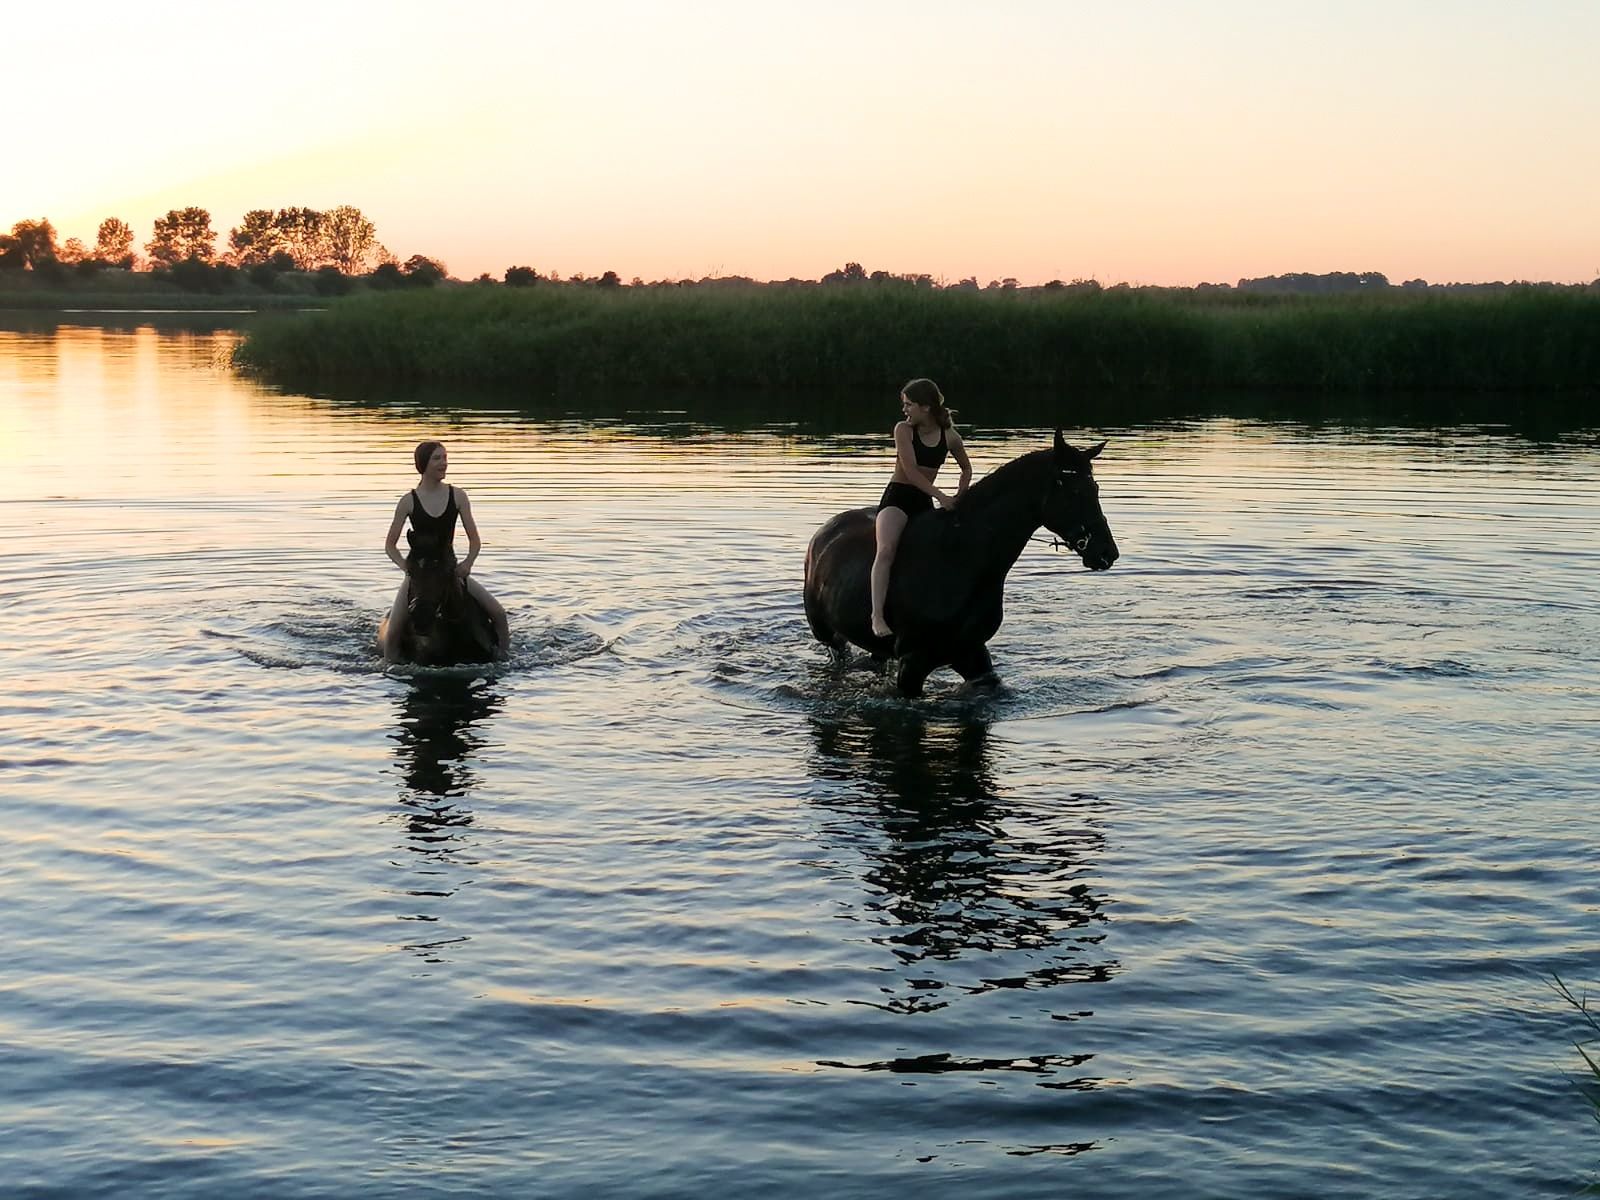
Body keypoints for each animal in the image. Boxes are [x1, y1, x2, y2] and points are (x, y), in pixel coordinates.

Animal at [806, 428, 1120, 694]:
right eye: (1074, 491)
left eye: (1096, 489)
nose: (1107, 553)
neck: (959, 559)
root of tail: (822, 534)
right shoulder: (913, 661)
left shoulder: (972, 653)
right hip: (829, 636)